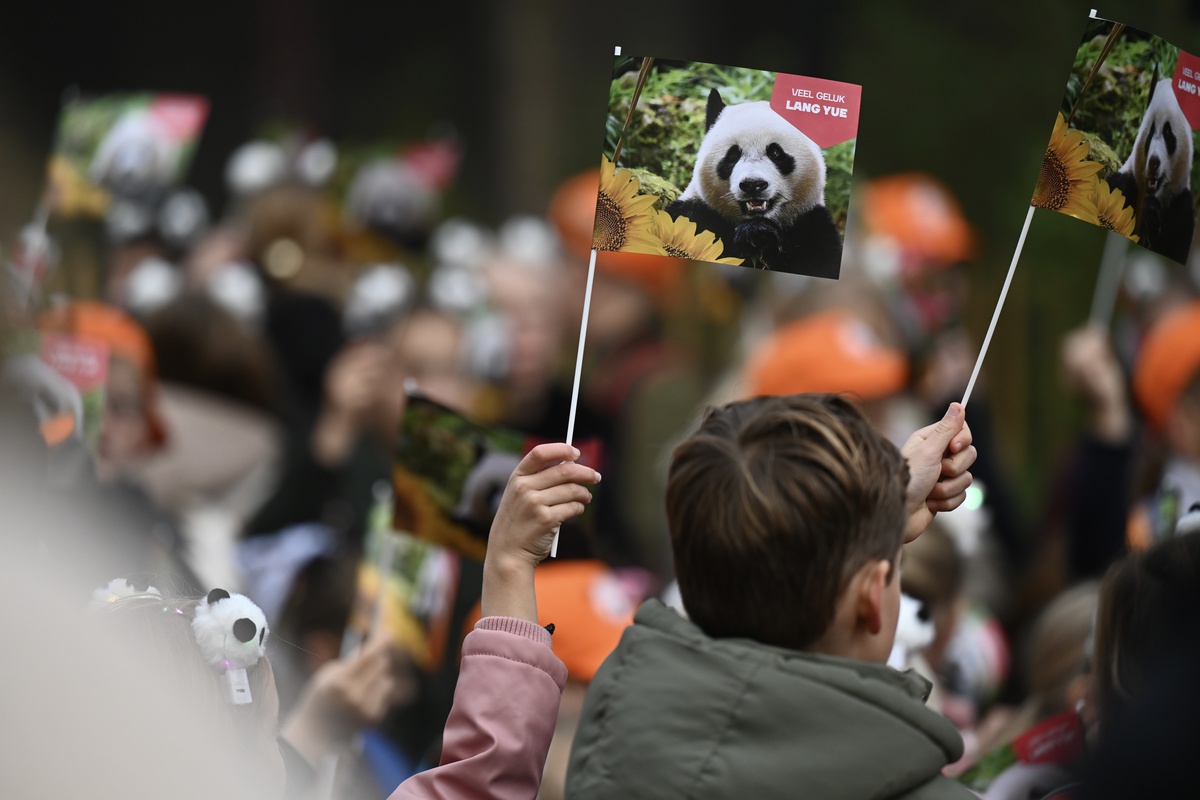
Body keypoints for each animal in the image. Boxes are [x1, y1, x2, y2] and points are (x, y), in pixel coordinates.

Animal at [666, 89, 842, 277]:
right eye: (733, 155)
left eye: (775, 153)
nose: (753, 184)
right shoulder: (695, 215)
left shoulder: (812, 226)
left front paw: (759, 233)